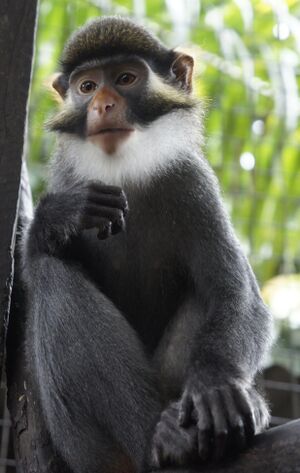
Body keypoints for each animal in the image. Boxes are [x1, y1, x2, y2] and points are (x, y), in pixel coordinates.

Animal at [22, 14, 272, 472]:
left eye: (125, 78)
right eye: (87, 86)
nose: (103, 105)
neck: (124, 170)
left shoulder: (193, 185)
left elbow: (236, 293)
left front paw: (217, 384)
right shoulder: (69, 180)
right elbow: (34, 266)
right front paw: (58, 216)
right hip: (83, 445)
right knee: (52, 276)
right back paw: (161, 436)